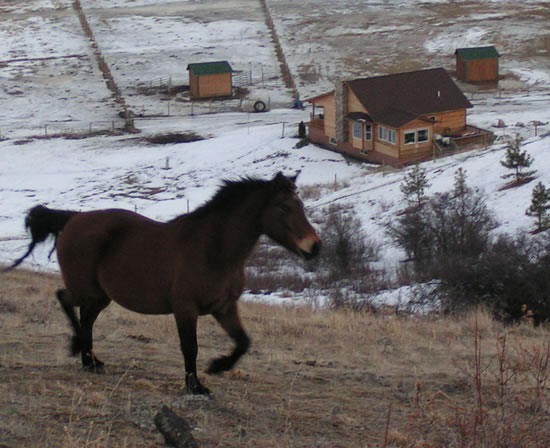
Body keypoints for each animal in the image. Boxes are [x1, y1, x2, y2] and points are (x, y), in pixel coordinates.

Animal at [6, 173, 322, 394]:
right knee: (64, 299)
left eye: (301, 206)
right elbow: (190, 348)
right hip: (89, 290)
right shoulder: (185, 309)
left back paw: (90, 360)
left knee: (85, 317)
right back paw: (78, 349)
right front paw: (196, 387)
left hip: (100, 296)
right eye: (284, 207)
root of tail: (74, 219)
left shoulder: (224, 308)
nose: (315, 246)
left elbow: (243, 342)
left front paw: (218, 366)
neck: (213, 249)